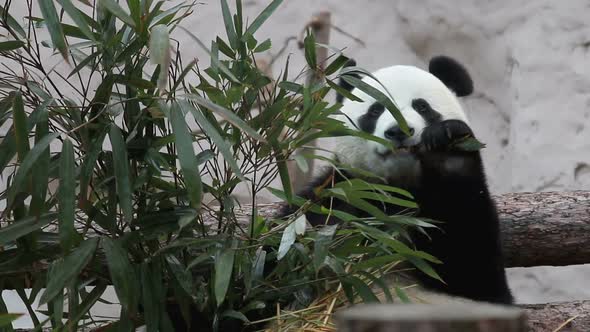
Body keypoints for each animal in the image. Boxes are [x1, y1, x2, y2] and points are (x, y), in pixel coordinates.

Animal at [280, 55, 516, 306]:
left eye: (422, 106)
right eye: (375, 110)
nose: (398, 131)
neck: (397, 189)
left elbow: (473, 266)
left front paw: (448, 146)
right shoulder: (334, 199)